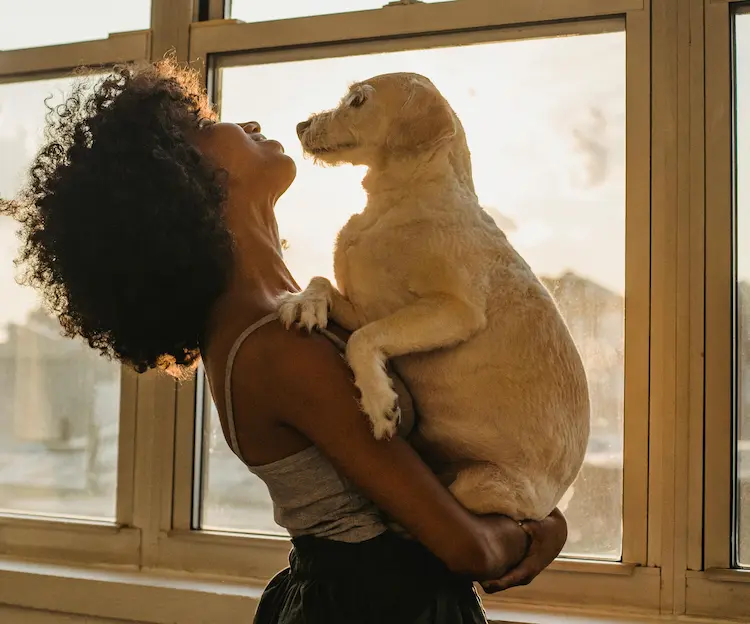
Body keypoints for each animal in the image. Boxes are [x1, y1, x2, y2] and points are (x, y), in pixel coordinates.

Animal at [280, 72, 592, 520]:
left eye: (358, 100)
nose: (300, 126)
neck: (394, 202)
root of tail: (551, 502)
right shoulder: (368, 308)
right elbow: (323, 280)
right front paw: (304, 302)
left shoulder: (455, 311)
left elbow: (363, 340)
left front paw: (379, 402)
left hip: (479, 487)